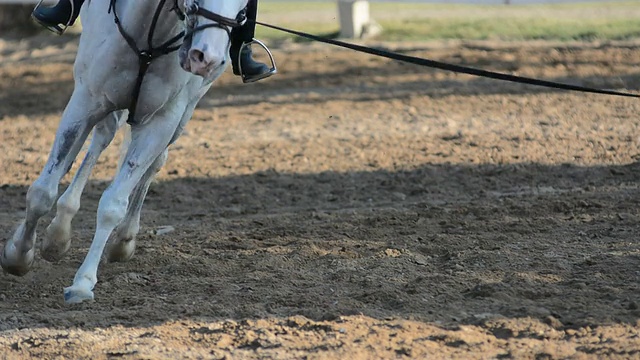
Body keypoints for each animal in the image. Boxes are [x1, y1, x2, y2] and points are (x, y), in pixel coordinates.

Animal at [0, 0, 249, 304]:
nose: (206, 56)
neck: (151, 29)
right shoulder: (86, 100)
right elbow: (42, 192)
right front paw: (17, 255)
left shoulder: (163, 120)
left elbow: (113, 204)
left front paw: (83, 283)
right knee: (99, 140)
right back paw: (59, 232)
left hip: (185, 110)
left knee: (153, 163)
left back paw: (119, 240)